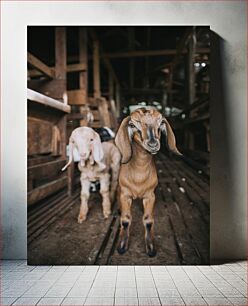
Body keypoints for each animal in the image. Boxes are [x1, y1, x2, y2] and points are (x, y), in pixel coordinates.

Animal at [114, 107, 180, 256]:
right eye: (132, 124)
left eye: (161, 123)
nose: (153, 144)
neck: (139, 175)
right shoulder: (125, 194)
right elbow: (125, 220)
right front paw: (122, 246)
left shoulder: (150, 196)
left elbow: (148, 221)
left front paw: (150, 248)